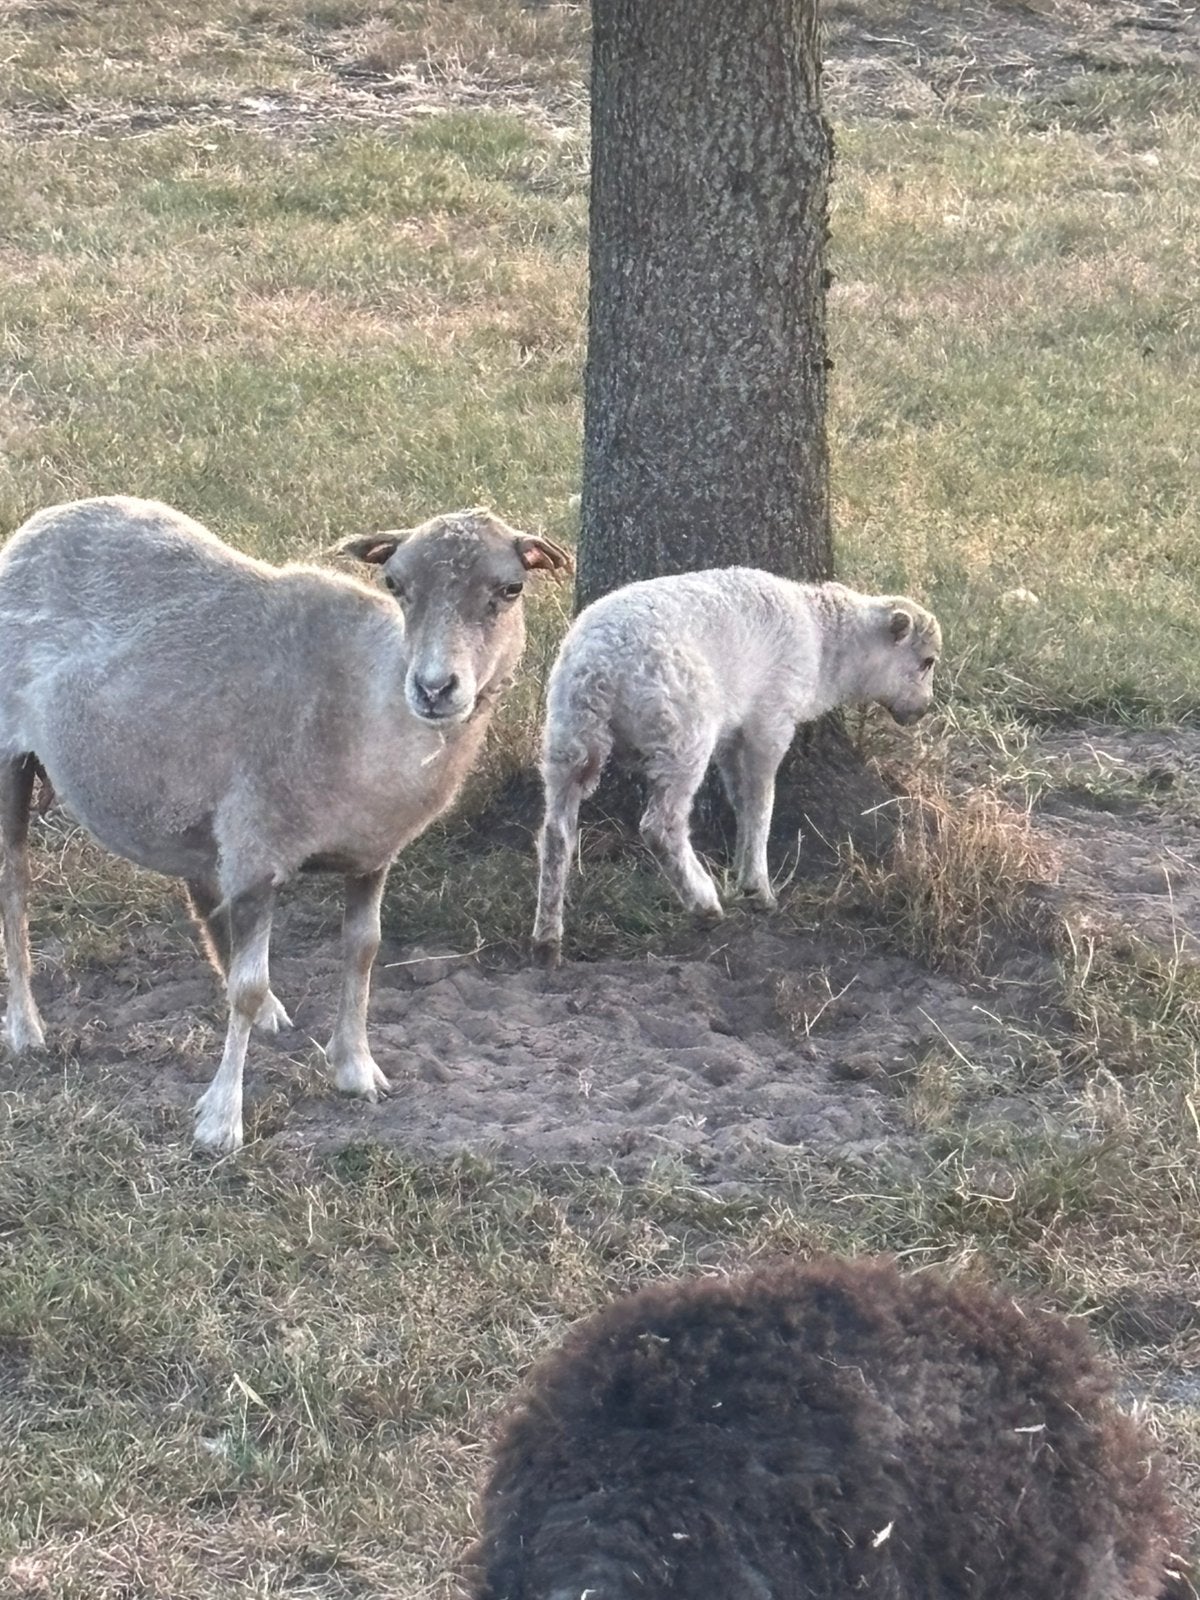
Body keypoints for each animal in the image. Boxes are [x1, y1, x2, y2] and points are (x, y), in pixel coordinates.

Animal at [0, 495, 571, 1154]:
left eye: (510, 588)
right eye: (395, 584)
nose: (433, 688)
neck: (369, 705)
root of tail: (49, 517)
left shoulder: (370, 853)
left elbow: (363, 952)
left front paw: (356, 1069)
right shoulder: (257, 848)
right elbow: (246, 986)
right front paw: (221, 1119)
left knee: (200, 886)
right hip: (11, 755)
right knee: (15, 885)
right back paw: (25, 1026)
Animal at [531, 570, 942, 965]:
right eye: (926, 662)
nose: (923, 711)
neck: (826, 644)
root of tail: (598, 666)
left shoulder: (732, 735)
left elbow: (742, 801)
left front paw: (744, 873)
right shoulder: (771, 721)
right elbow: (762, 804)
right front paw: (758, 889)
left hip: (568, 735)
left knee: (556, 833)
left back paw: (547, 938)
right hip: (680, 731)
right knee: (660, 827)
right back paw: (703, 904)